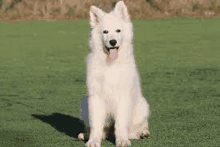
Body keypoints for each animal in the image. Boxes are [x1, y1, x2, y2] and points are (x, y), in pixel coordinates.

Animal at [78, 0, 150, 146]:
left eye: (118, 30)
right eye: (105, 32)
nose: (113, 42)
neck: (110, 64)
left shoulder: (123, 98)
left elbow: (121, 124)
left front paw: (122, 140)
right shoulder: (95, 98)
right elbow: (96, 125)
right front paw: (93, 140)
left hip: (143, 105)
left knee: (136, 128)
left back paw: (141, 133)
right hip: (84, 103)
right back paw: (86, 135)